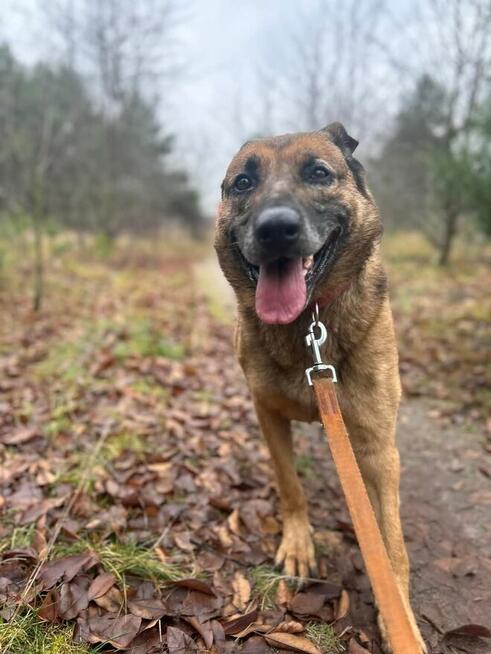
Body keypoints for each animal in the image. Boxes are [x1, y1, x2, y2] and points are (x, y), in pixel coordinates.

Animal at [215, 124, 426, 654]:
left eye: (318, 173)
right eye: (243, 182)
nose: (275, 229)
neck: (307, 325)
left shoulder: (377, 448)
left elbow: (392, 545)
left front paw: (400, 620)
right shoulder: (268, 415)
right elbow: (290, 485)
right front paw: (298, 544)